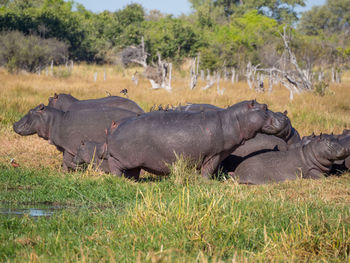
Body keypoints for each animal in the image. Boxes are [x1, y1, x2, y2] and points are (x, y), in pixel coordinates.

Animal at [106, 100, 290, 180]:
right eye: (265, 107)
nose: (283, 116)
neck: (234, 120)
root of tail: (115, 125)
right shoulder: (214, 154)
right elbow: (209, 169)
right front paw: (208, 182)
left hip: (135, 161)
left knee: (133, 172)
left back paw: (134, 182)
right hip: (122, 159)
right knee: (115, 167)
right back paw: (118, 180)